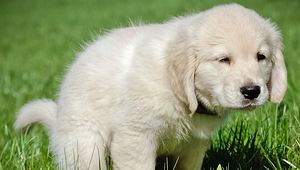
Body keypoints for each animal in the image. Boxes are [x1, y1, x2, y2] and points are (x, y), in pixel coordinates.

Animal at [15, 2, 288, 170]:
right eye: (223, 60)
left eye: (261, 57)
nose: (252, 91)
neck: (181, 95)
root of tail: (57, 118)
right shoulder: (135, 136)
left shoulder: (194, 147)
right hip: (83, 143)